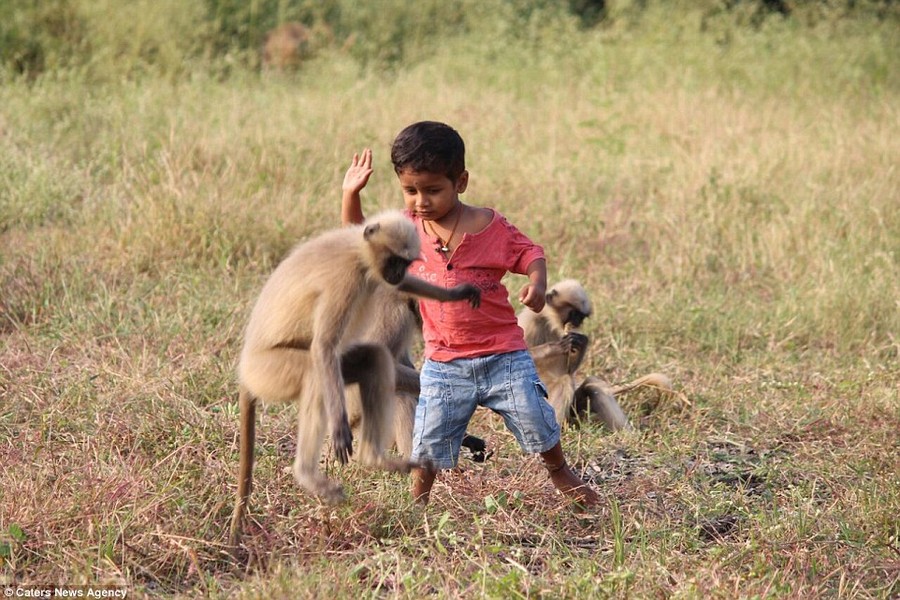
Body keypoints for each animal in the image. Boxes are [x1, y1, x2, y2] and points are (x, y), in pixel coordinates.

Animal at [229, 212, 482, 552]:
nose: (397, 272)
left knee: (372, 360)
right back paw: (310, 473)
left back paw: (377, 459)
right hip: (270, 372)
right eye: (395, 260)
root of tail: (246, 370)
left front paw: (459, 293)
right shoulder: (355, 284)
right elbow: (324, 346)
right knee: (318, 369)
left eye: (405, 263)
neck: (358, 251)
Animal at [516, 280, 672, 432]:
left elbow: (569, 368)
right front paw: (559, 345)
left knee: (592, 386)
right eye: (574, 314)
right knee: (564, 382)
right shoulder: (530, 323)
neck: (546, 320)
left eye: (581, 317)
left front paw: (582, 341)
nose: (577, 322)